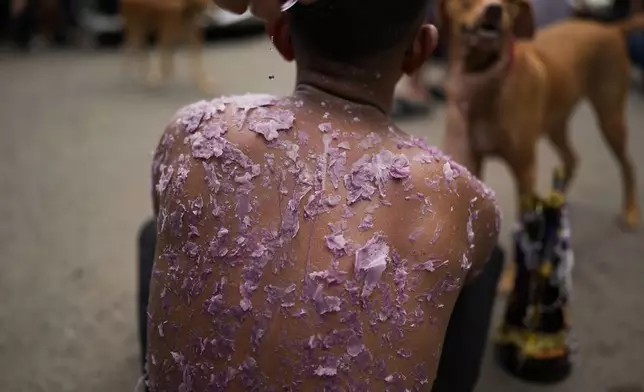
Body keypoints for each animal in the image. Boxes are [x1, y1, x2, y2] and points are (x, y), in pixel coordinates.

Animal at [440, 0, 640, 290]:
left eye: (509, 4)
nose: (495, 9)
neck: (487, 82)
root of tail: (610, 28)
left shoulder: (525, 171)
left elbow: (522, 229)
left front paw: (511, 277)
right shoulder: (473, 162)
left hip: (610, 118)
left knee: (627, 165)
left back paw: (630, 211)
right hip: (555, 123)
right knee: (571, 159)